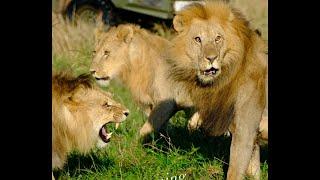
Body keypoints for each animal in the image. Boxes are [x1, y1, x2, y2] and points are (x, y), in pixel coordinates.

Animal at [156, 1, 266, 179]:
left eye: (218, 38)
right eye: (198, 39)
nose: (211, 58)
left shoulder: (246, 128)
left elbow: (235, 168)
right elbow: (252, 168)